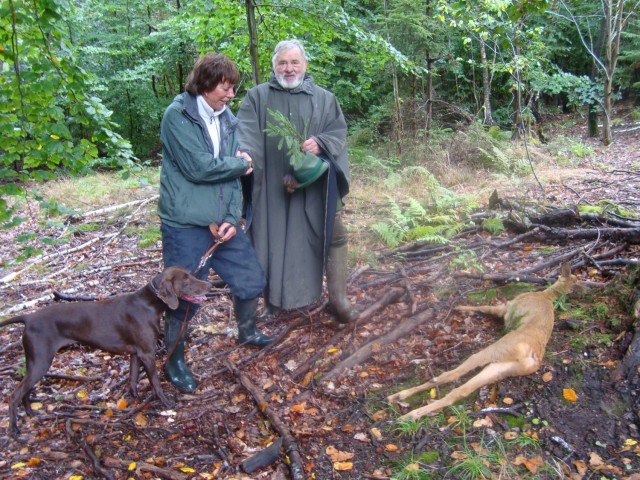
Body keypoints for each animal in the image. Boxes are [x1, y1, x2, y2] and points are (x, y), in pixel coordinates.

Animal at [0, 266, 210, 436]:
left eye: (191, 274)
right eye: (185, 279)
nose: (208, 285)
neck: (149, 303)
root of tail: (28, 318)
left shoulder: (136, 353)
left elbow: (132, 380)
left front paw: (135, 399)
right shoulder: (147, 353)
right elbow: (156, 383)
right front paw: (166, 403)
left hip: (35, 363)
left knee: (25, 392)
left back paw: (31, 413)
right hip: (41, 362)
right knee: (14, 395)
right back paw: (14, 429)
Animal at [388, 262, 576, 420]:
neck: (547, 295)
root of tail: (533, 356)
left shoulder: (507, 307)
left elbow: (485, 307)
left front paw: (461, 307)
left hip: (495, 349)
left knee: (451, 374)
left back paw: (401, 401)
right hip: (502, 368)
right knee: (461, 390)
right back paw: (409, 413)